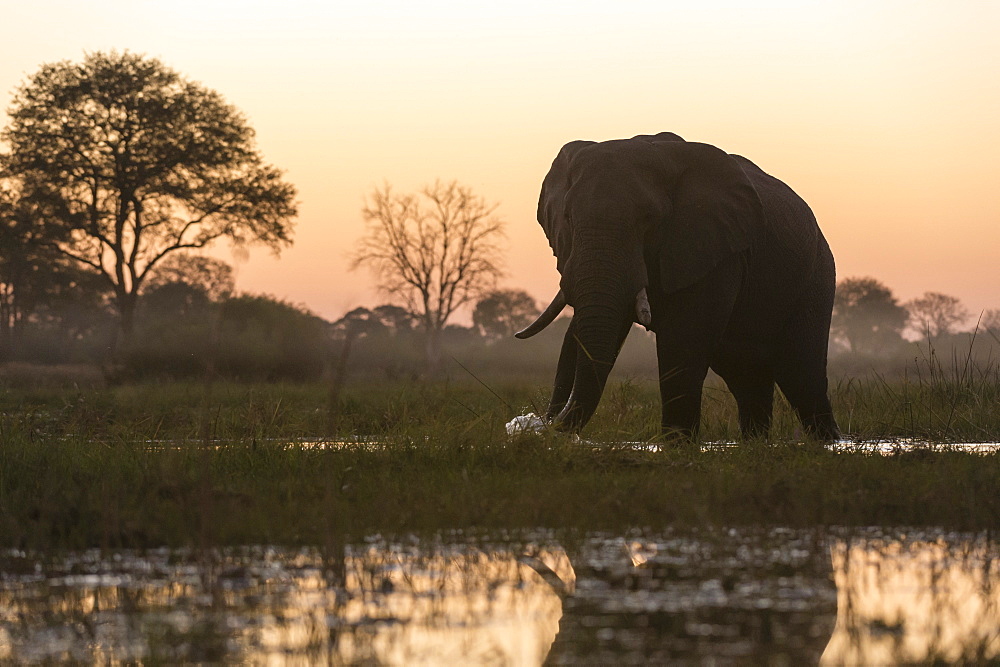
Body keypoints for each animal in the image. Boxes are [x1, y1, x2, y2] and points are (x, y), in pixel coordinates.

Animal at [520, 132, 840, 440]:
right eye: (568, 218)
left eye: (649, 219)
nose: (540, 423)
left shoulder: (713, 249)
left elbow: (683, 339)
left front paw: (677, 445)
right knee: (747, 378)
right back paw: (755, 443)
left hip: (816, 278)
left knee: (801, 376)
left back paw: (829, 442)